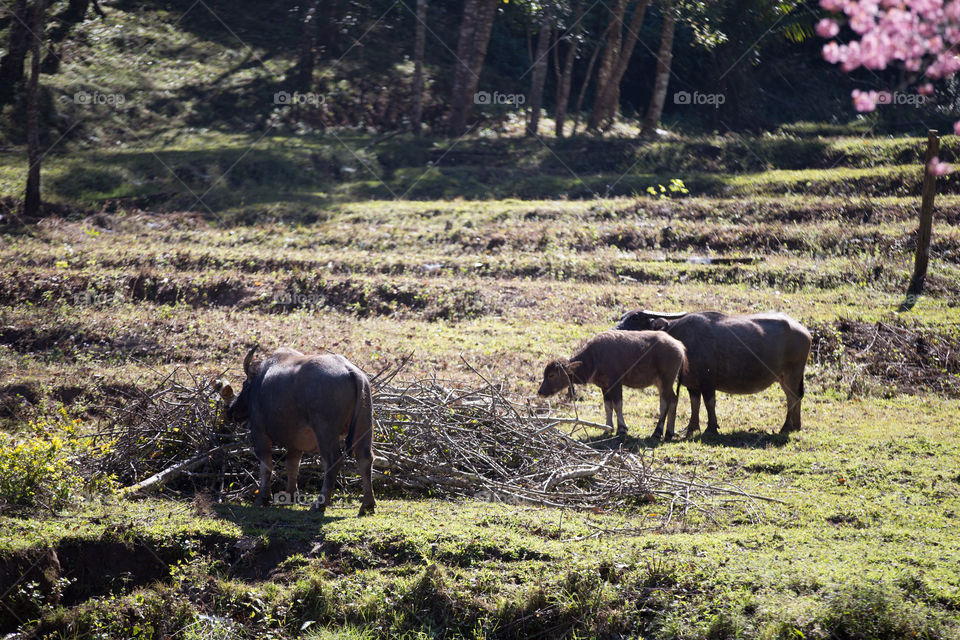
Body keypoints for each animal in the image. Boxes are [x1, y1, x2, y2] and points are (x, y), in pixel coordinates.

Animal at [221, 344, 376, 516]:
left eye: (244, 384)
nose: (231, 411)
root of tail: (351, 370)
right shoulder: (295, 443)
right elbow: (292, 465)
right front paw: (290, 495)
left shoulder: (259, 432)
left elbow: (266, 465)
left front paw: (263, 499)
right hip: (364, 424)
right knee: (365, 458)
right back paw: (367, 505)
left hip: (325, 430)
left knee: (332, 460)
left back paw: (319, 504)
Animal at [536, 330, 688, 440]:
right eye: (545, 373)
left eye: (551, 375)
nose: (540, 392)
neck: (594, 359)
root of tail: (679, 346)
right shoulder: (604, 386)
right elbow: (608, 406)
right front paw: (607, 428)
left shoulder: (616, 383)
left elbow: (618, 405)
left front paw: (622, 429)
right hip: (662, 383)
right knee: (671, 400)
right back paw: (668, 432)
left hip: (666, 380)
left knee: (667, 401)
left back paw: (658, 432)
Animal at [616, 308, 808, 438]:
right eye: (622, 317)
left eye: (635, 318)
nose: (617, 330)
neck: (681, 337)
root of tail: (804, 331)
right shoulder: (692, 383)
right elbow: (695, 403)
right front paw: (692, 427)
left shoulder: (707, 380)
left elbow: (709, 402)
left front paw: (711, 428)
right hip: (784, 377)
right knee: (795, 397)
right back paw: (796, 426)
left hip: (792, 374)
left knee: (792, 397)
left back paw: (786, 427)